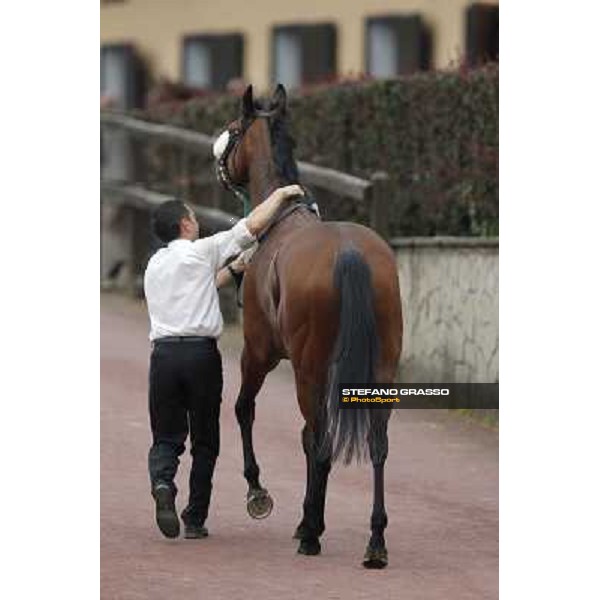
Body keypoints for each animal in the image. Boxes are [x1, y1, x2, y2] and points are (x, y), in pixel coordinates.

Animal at [212, 83, 404, 568]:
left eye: (234, 128)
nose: (219, 162)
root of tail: (349, 252)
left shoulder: (257, 353)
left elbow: (243, 409)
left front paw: (259, 492)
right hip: (381, 370)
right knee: (376, 443)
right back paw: (375, 540)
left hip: (306, 367)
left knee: (318, 440)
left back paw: (312, 534)